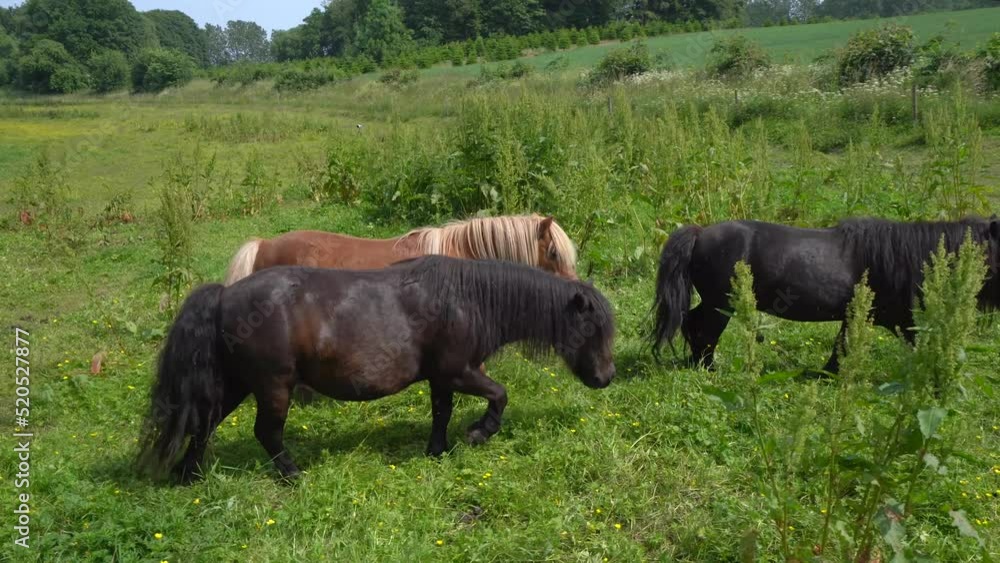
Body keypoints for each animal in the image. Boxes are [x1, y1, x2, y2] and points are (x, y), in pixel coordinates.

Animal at [139, 256, 616, 483]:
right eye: (592, 328)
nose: (606, 378)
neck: (468, 299)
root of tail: (225, 295)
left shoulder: (442, 378)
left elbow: (440, 412)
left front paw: (437, 450)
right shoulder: (459, 371)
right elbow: (499, 394)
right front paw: (480, 432)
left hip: (239, 384)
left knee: (202, 423)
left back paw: (189, 474)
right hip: (274, 386)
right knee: (266, 433)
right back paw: (292, 475)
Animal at [651, 217, 1000, 373]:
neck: (901, 256)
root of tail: (700, 233)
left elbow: (842, 344)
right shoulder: (894, 318)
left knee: (692, 323)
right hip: (720, 305)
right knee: (702, 329)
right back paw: (706, 366)